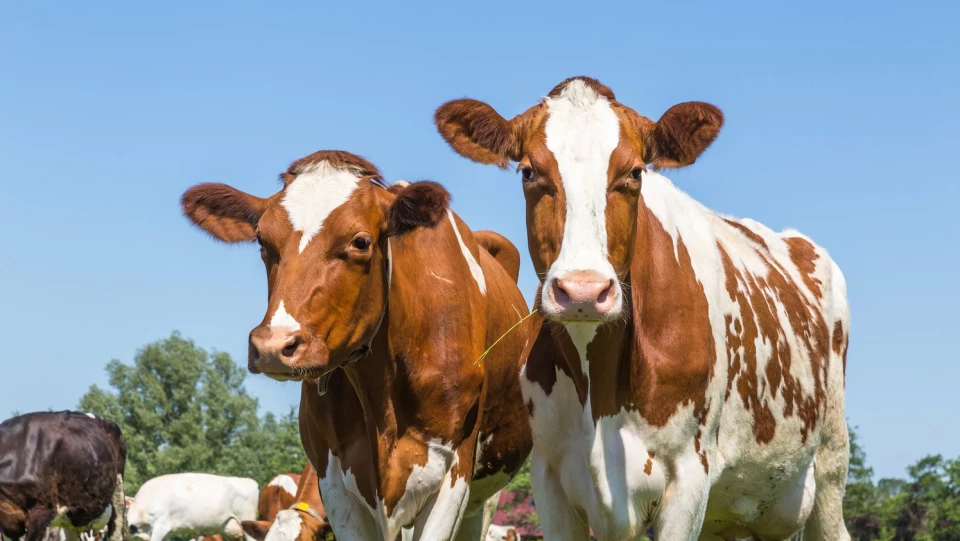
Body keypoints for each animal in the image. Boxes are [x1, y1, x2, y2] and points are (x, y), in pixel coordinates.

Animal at [182, 151, 532, 540]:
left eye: (360, 242)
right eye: (261, 241)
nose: (273, 346)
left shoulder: (453, 476)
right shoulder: (335, 480)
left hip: (483, 496)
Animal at [438, 77, 852, 540]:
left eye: (634, 172)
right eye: (529, 171)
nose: (583, 291)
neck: (599, 396)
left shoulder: (690, 476)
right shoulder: (550, 478)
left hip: (829, 469)